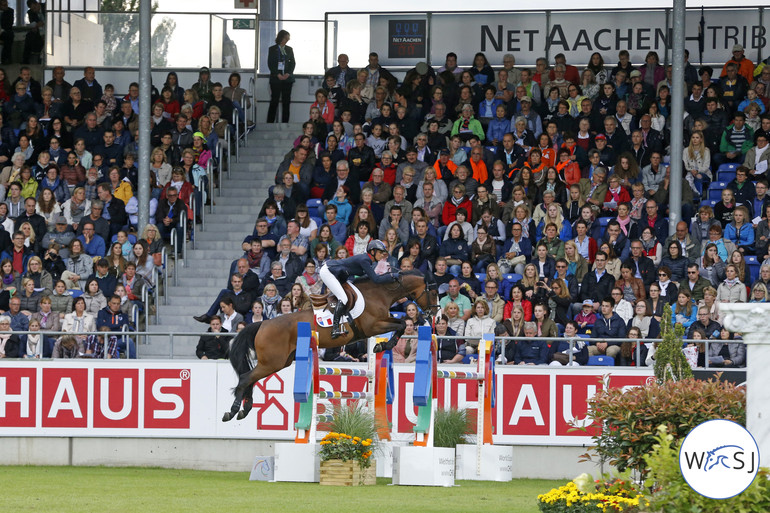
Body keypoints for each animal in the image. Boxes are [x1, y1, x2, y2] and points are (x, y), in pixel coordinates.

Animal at [222, 268, 438, 420]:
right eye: (433, 292)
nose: (434, 313)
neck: (379, 293)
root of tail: (262, 324)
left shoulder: (381, 322)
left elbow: (400, 324)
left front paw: (380, 346)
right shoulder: (373, 326)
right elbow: (400, 324)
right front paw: (381, 346)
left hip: (278, 362)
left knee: (251, 379)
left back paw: (244, 410)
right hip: (272, 362)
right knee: (245, 378)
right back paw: (232, 412)